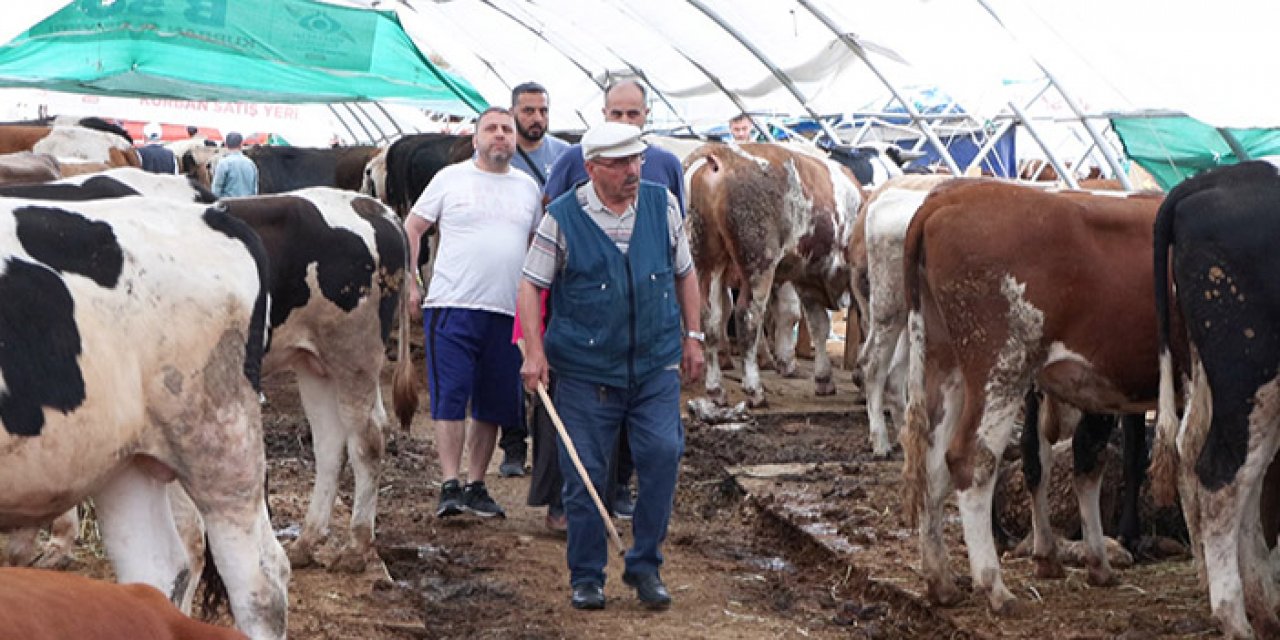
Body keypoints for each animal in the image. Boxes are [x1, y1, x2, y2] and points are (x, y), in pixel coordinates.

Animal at [686, 143, 865, 407]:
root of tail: (723, 156)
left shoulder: (807, 281)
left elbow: (819, 327)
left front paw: (824, 379)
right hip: (759, 264)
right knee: (747, 317)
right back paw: (754, 390)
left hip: (708, 262)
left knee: (710, 319)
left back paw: (716, 389)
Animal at [896, 179, 1167, 614]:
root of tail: (954, 194)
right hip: (1000, 366)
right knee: (971, 460)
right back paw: (994, 587)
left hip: (947, 363)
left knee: (935, 466)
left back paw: (941, 582)